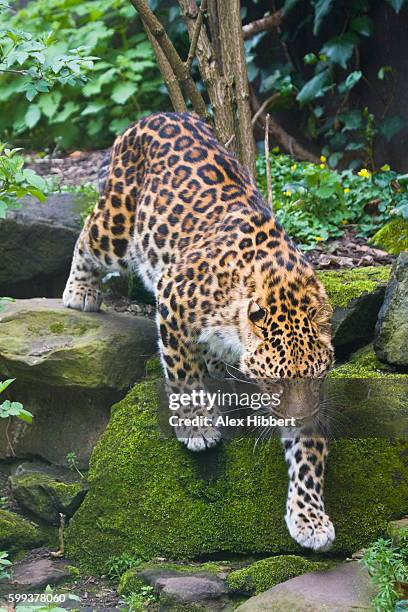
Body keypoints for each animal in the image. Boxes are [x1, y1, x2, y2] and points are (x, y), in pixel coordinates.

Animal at [63, 112, 336, 552]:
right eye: (276, 382)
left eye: (314, 377)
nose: (297, 416)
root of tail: (157, 115)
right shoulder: (173, 294)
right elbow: (181, 372)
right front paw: (196, 425)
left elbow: (308, 455)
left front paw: (310, 519)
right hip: (118, 227)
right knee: (88, 235)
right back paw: (80, 292)